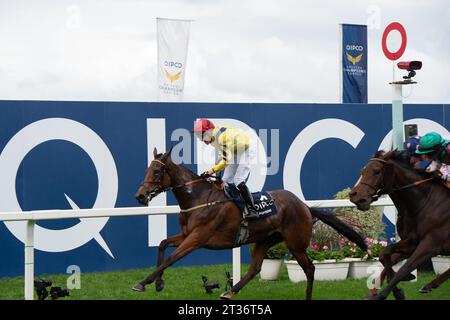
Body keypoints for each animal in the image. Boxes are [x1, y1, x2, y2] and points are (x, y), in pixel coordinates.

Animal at [132, 149, 368, 298]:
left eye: (156, 171)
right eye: (147, 169)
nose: (140, 196)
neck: (198, 198)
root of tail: (304, 206)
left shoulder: (198, 237)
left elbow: (172, 257)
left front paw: (143, 282)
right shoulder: (186, 234)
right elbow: (162, 244)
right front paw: (158, 283)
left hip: (295, 242)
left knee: (309, 269)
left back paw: (307, 296)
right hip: (265, 239)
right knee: (255, 268)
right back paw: (230, 291)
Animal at [352, 151, 450, 300]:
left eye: (377, 171)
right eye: (362, 172)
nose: (354, 196)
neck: (426, 203)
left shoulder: (431, 244)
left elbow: (404, 269)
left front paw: (387, 294)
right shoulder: (412, 242)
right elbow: (385, 254)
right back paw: (429, 285)